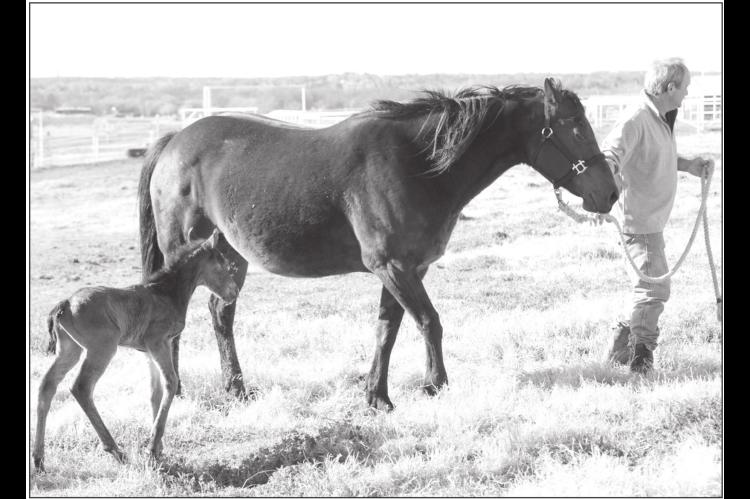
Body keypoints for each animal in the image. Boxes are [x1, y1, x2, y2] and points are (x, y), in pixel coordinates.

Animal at [32, 229, 239, 471]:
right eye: (222, 263)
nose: (234, 292)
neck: (165, 293)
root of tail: (64, 304)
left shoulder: (148, 351)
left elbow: (154, 392)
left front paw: (159, 450)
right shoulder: (158, 342)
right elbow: (171, 382)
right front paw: (152, 448)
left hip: (70, 349)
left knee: (47, 385)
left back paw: (39, 459)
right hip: (102, 348)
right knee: (81, 387)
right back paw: (115, 451)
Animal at [138, 78, 619, 411]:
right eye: (576, 128)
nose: (610, 194)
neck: (418, 164)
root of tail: (174, 141)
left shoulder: (405, 270)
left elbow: (388, 330)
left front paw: (377, 397)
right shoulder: (394, 267)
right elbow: (429, 322)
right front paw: (435, 385)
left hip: (229, 257)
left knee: (221, 316)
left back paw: (233, 390)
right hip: (189, 255)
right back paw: (182, 390)